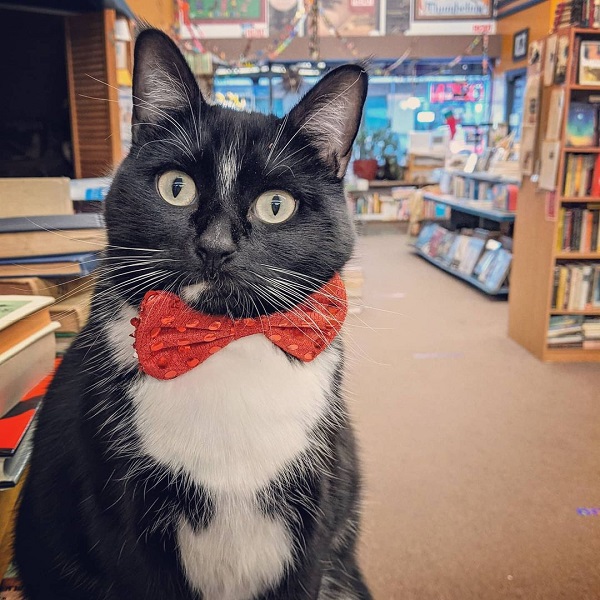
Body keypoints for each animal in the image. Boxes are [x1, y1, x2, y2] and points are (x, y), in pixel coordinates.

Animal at [14, 30, 370, 600]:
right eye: (175, 186)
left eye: (276, 205)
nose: (216, 246)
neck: (224, 348)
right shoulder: (124, 521)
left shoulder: (315, 523)